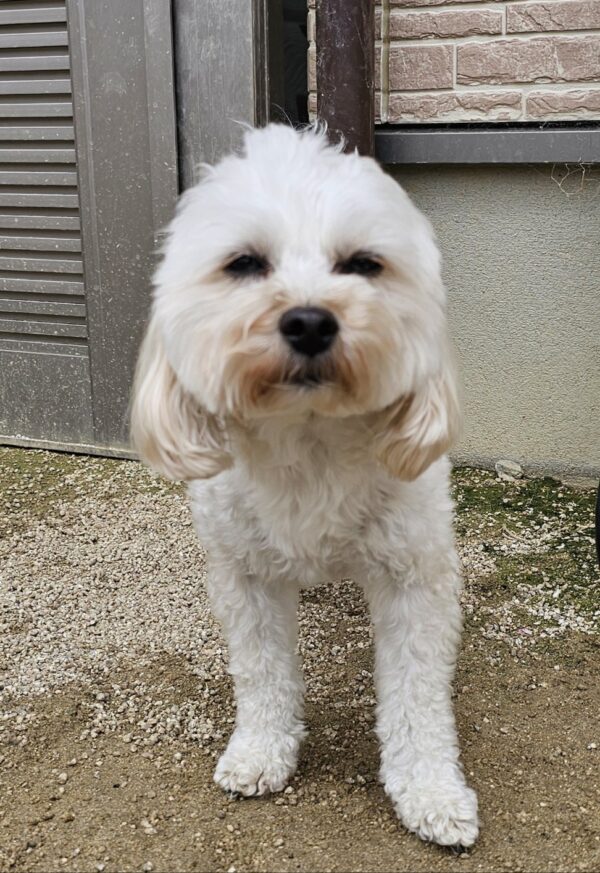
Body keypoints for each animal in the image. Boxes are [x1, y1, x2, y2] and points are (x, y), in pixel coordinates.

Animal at [131, 124, 479, 848]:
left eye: (363, 264)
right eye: (243, 263)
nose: (311, 320)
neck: (309, 439)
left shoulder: (416, 575)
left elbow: (417, 693)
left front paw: (431, 790)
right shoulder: (244, 576)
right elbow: (261, 670)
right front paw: (261, 750)